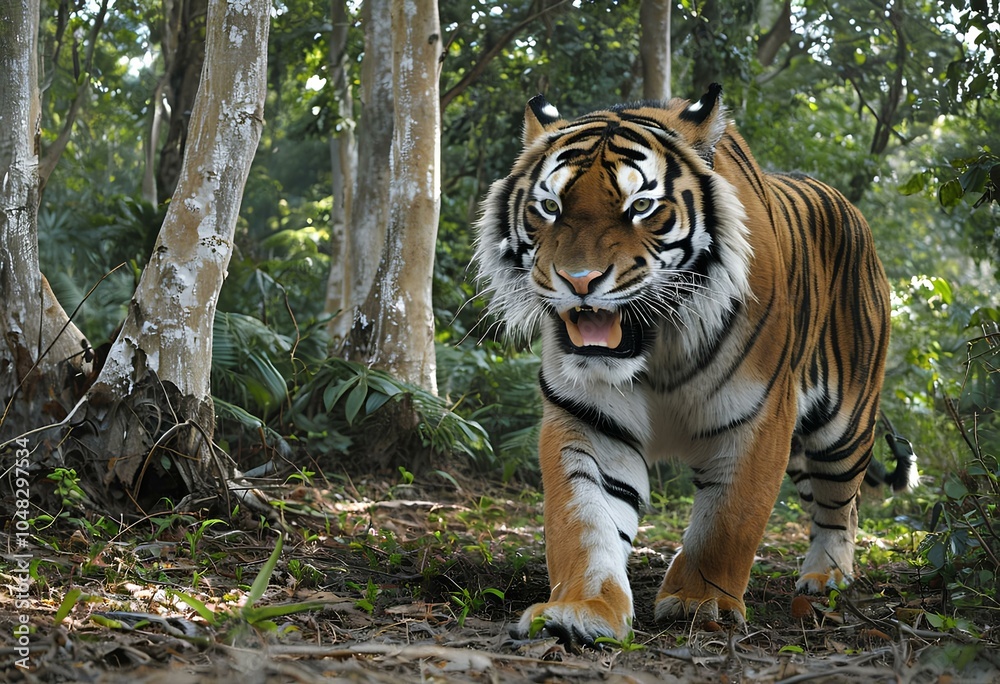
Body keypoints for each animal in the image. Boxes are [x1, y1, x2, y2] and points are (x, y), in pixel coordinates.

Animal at [473, 84, 918, 645]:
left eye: (641, 206)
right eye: (550, 207)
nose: (578, 280)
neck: (656, 347)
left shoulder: (758, 419)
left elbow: (728, 521)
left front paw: (700, 602)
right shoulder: (588, 420)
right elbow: (584, 520)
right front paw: (582, 609)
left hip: (844, 427)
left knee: (843, 504)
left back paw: (826, 576)